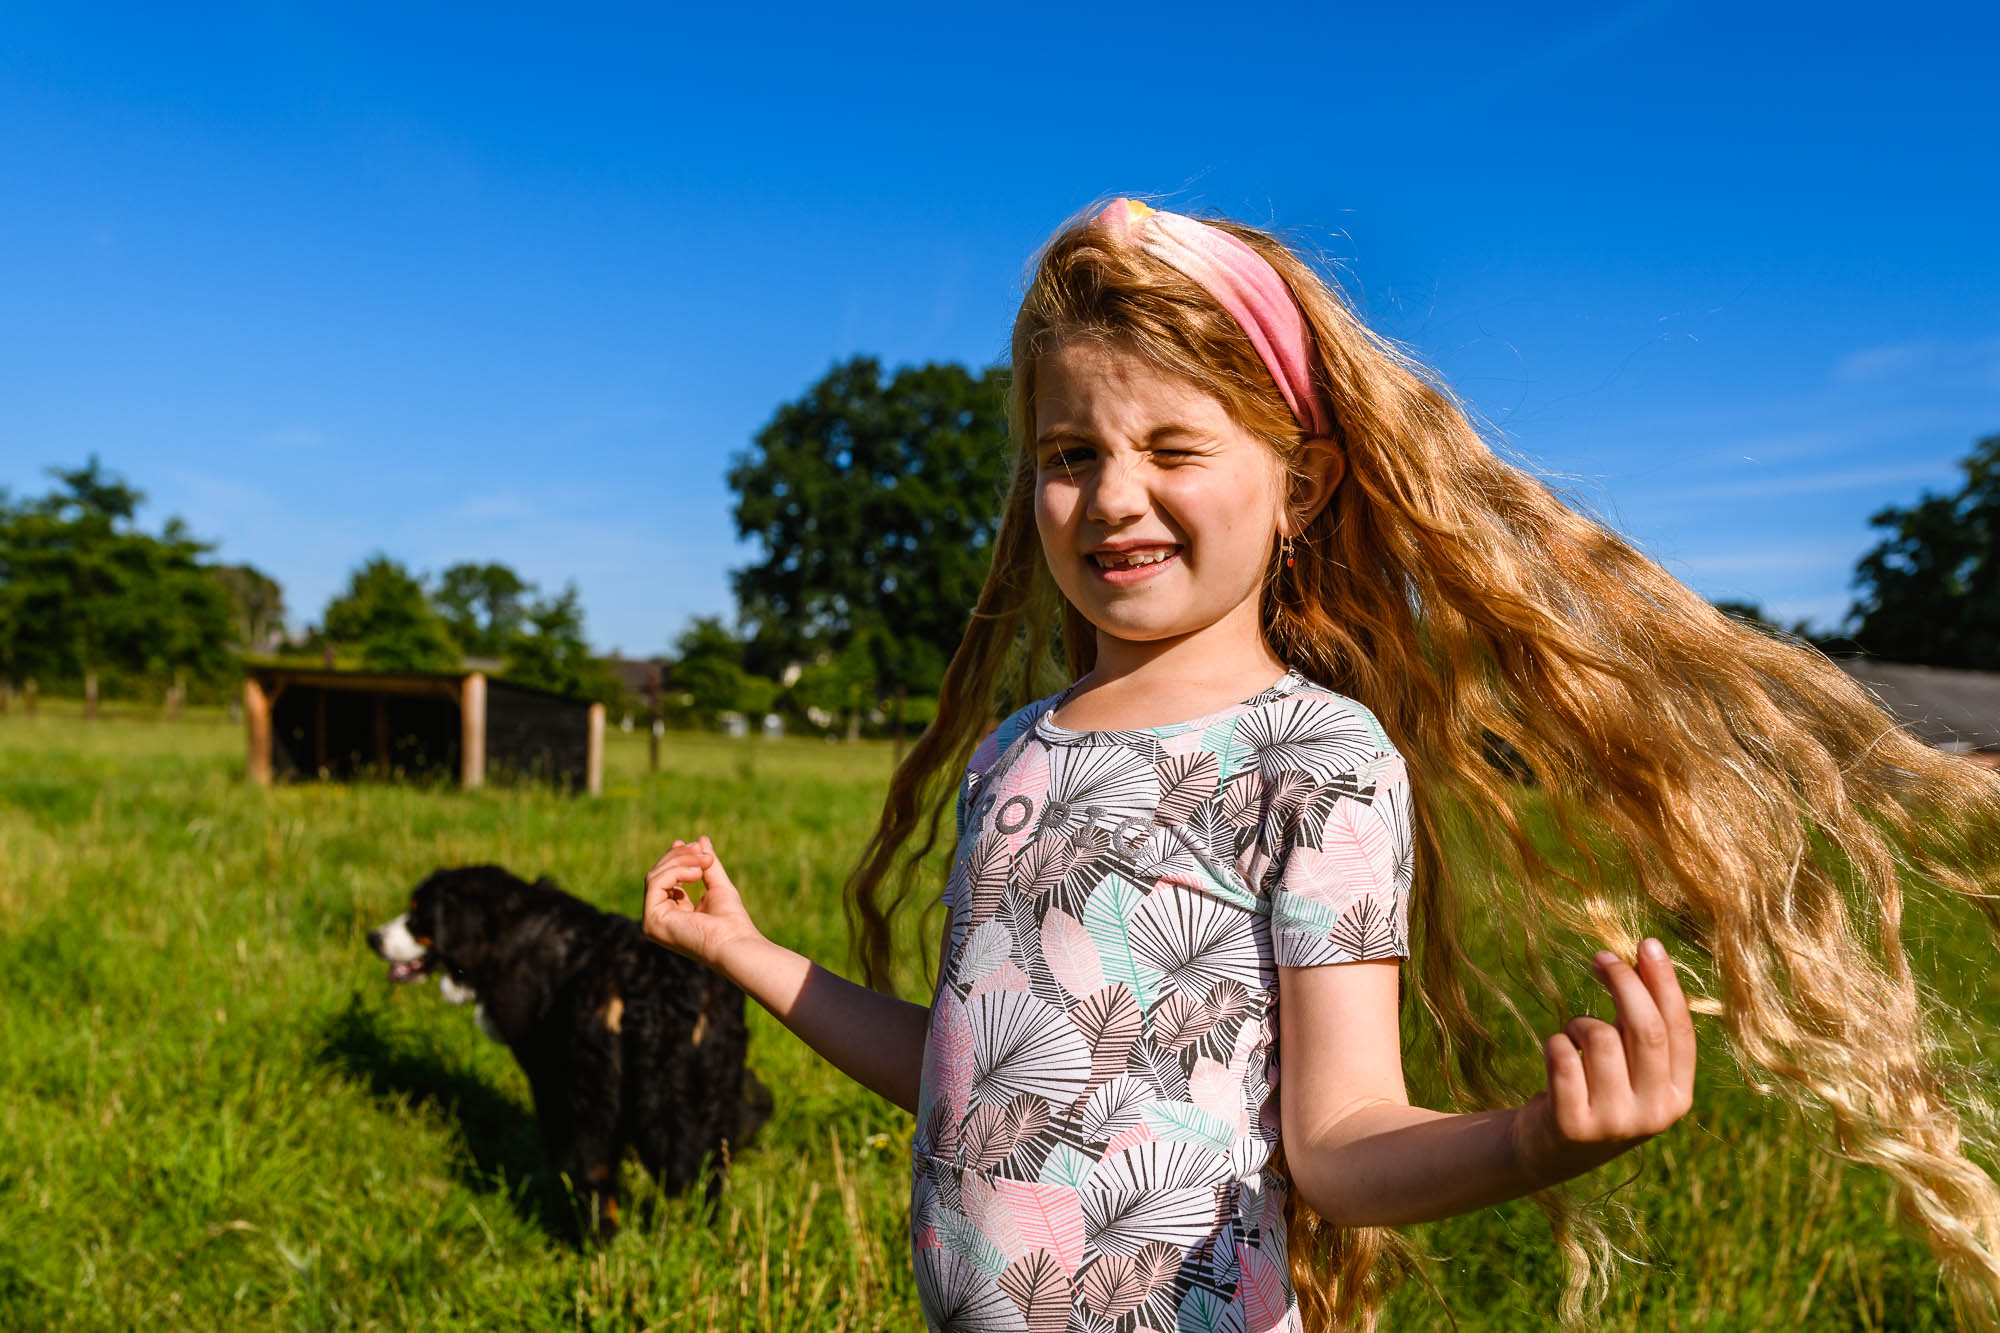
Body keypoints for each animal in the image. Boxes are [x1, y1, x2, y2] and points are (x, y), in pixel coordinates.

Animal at [364, 860, 768, 1224]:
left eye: (419, 915)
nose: (372, 937)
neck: (506, 934)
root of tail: (655, 981)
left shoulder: (544, 1069)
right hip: (715, 1087)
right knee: (712, 1171)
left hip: (592, 1090)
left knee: (598, 1180)